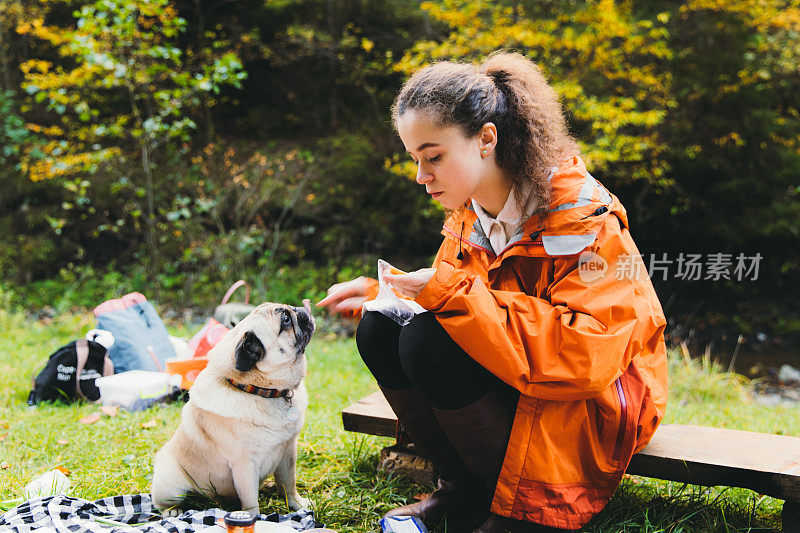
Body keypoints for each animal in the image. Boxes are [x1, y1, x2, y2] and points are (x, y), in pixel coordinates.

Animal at [152, 298, 314, 512]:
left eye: (289, 311)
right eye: (286, 319)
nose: (300, 309)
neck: (261, 391)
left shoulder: (288, 452)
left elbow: (288, 483)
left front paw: (297, 505)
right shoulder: (245, 466)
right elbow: (251, 502)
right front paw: (253, 518)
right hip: (169, 484)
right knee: (163, 503)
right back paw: (173, 510)